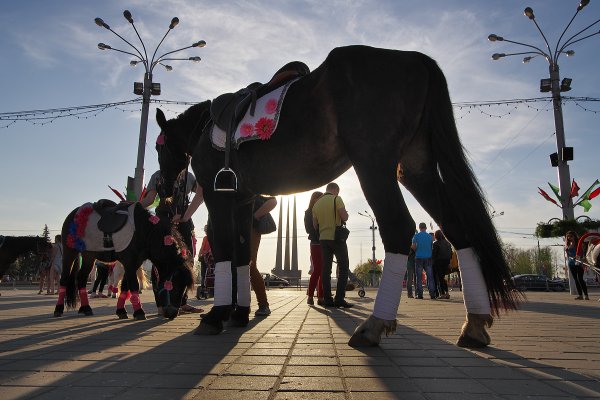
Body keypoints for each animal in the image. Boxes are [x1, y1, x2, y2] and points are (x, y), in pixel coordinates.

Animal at [157, 44, 524, 346]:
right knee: (457, 228)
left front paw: (217, 314)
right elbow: (242, 254)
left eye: (160, 148)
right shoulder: (244, 200)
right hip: (415, 167)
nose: (164, 192)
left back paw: (375, 325)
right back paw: (474, 324)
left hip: (373, 163)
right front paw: (238, 313)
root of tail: (419, 59)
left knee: (399, 228)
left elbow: (224, 250)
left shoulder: (218, 196)